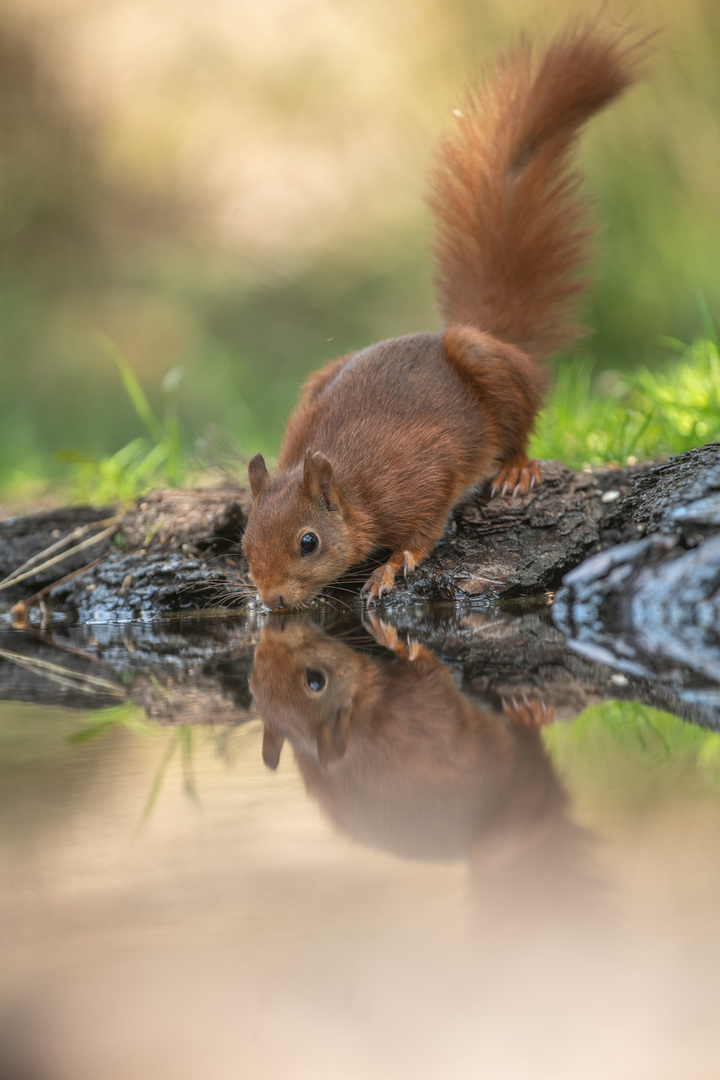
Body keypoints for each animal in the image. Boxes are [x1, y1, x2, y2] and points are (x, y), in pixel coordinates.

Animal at [241, 27, 643, 609]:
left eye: (308, 542)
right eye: (244, 543)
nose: (271, 600)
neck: (352, 486)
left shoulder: (423, 474)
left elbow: (424, 528)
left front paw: (390, 566)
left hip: (485, 365)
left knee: (518, 427)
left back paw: (516, 467)